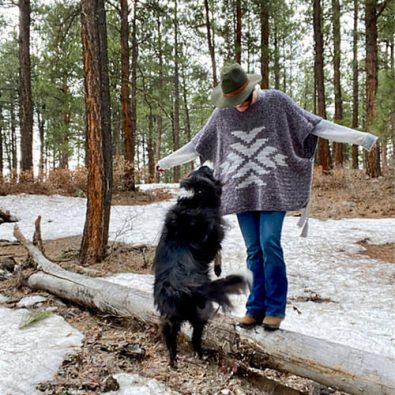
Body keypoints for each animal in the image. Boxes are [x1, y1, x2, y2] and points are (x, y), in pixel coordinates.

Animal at [153, 166, 246, 368]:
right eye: (205, 171)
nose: (206, 164)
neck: (193, 201)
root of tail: (180, 290)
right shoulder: (213, 236)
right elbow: (217, 248)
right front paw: (218, 269)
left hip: (170, 318)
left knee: (170, 339)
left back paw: (174, 362)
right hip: (201, 314)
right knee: (196, 338)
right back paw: (200, 354)